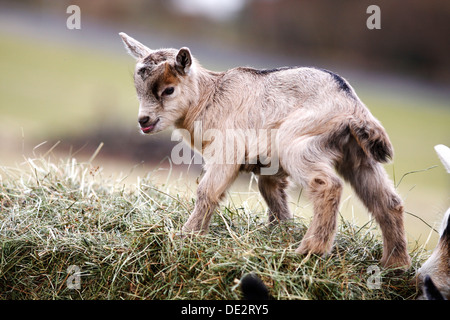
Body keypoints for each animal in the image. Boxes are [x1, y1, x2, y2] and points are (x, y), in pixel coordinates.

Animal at [118, 31, 412, 268]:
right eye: (138, 89)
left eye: (168, 90)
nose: (144, 121)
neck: (209, 99)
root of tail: (352, 106)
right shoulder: (269, 169)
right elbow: (273, 196)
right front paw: (280, 233)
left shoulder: (227, 151)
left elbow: (207, 191)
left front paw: (186, 236)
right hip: (356, 155)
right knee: (388, 201)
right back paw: (394, 264)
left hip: (297, 142)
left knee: (328, 185)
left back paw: (310, 251)